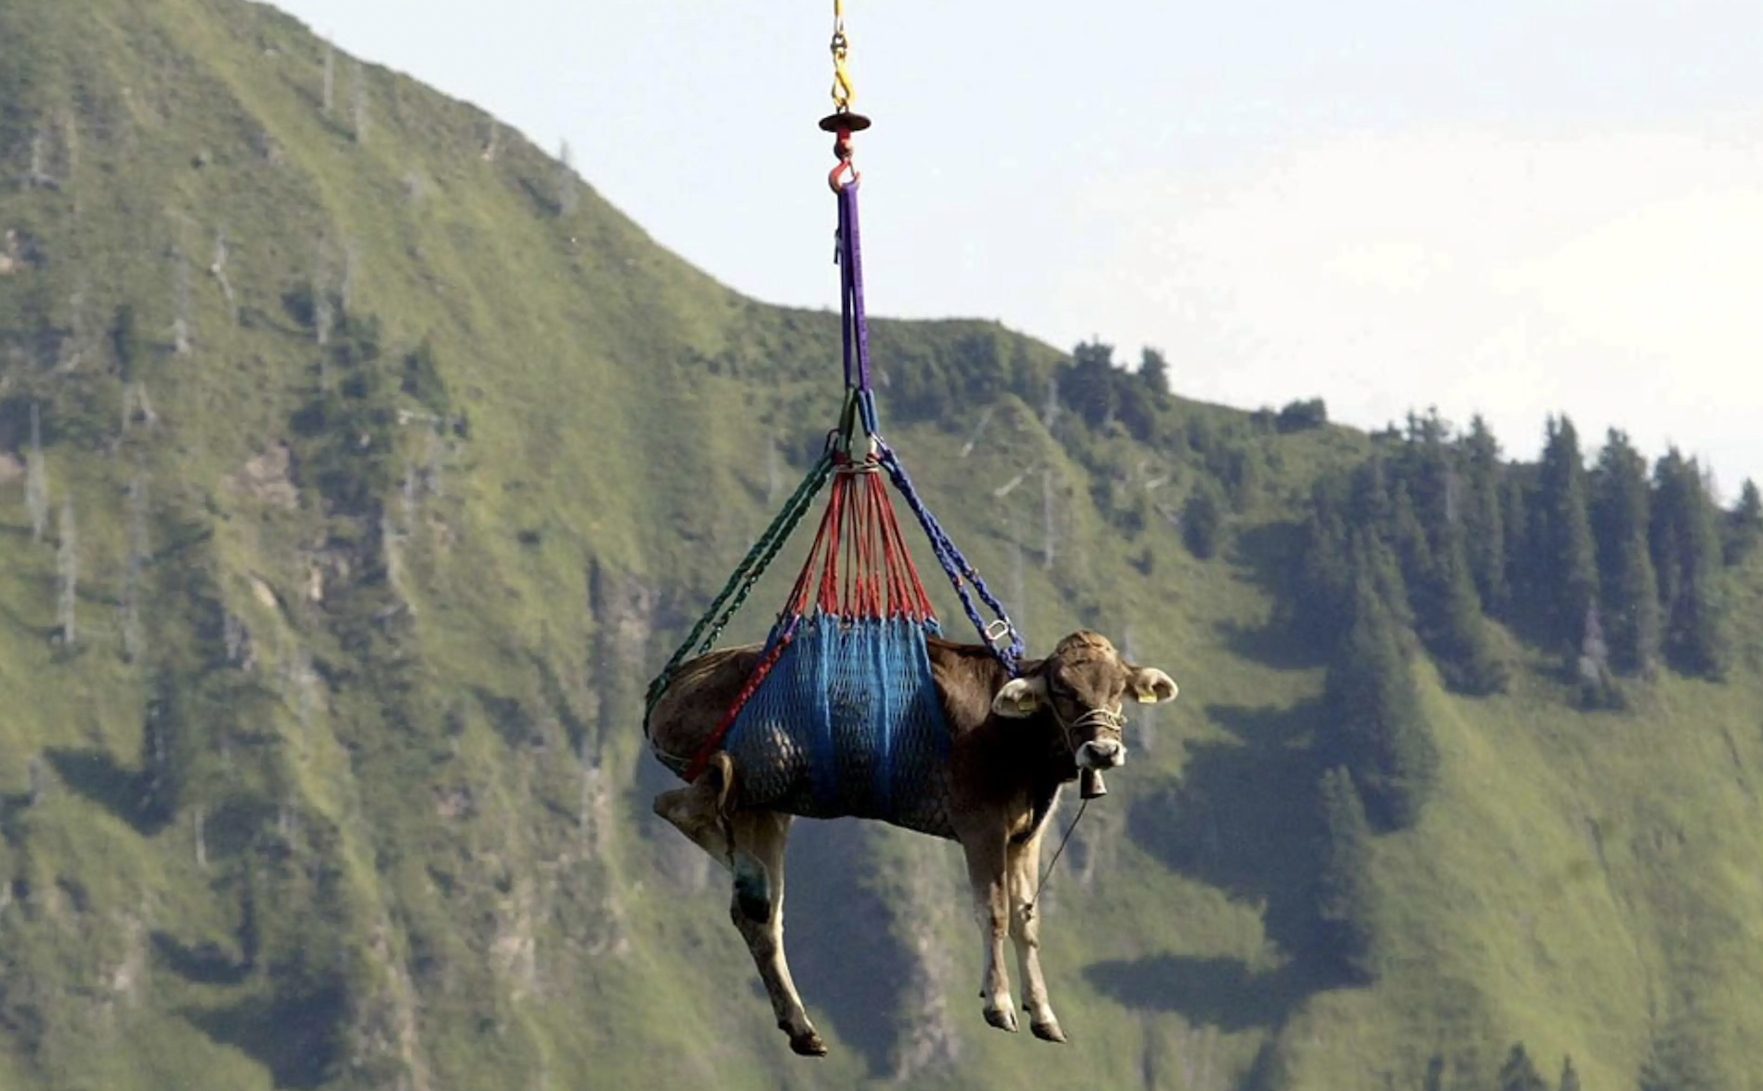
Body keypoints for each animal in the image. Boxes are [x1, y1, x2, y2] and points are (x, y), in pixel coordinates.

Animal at [652, 630, 1184, 1057]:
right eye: (1063, 691)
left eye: (1118, 691)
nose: (1103, 750)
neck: (1016, 737)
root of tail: (679, 680)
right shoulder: (980, 824)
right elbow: (993, 914)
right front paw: (999, 1003)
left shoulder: (1025, 837)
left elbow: (1026, 923)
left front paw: (1044, 1014)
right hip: (754, 769)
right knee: (677, 805)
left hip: (767, 808)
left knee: (760, 917)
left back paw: (799, 1020)